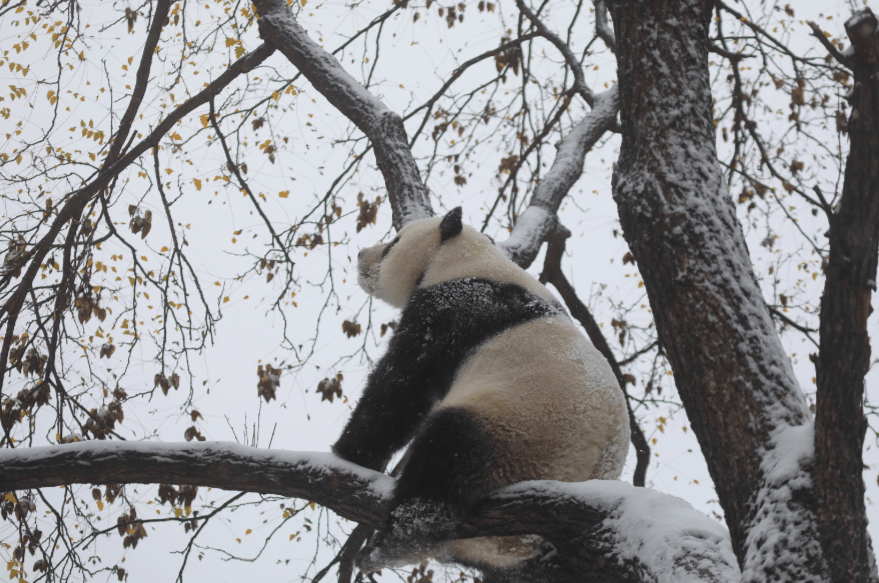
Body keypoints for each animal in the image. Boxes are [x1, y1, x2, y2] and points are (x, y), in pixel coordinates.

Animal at [332, 206, 632, 576]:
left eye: (392, 244)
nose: (362, 254)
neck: (466, 258)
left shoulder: (453, 310)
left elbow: (402, 386)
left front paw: (349, 454)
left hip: (522, 428)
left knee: (445, 455)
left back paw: (387, 546)